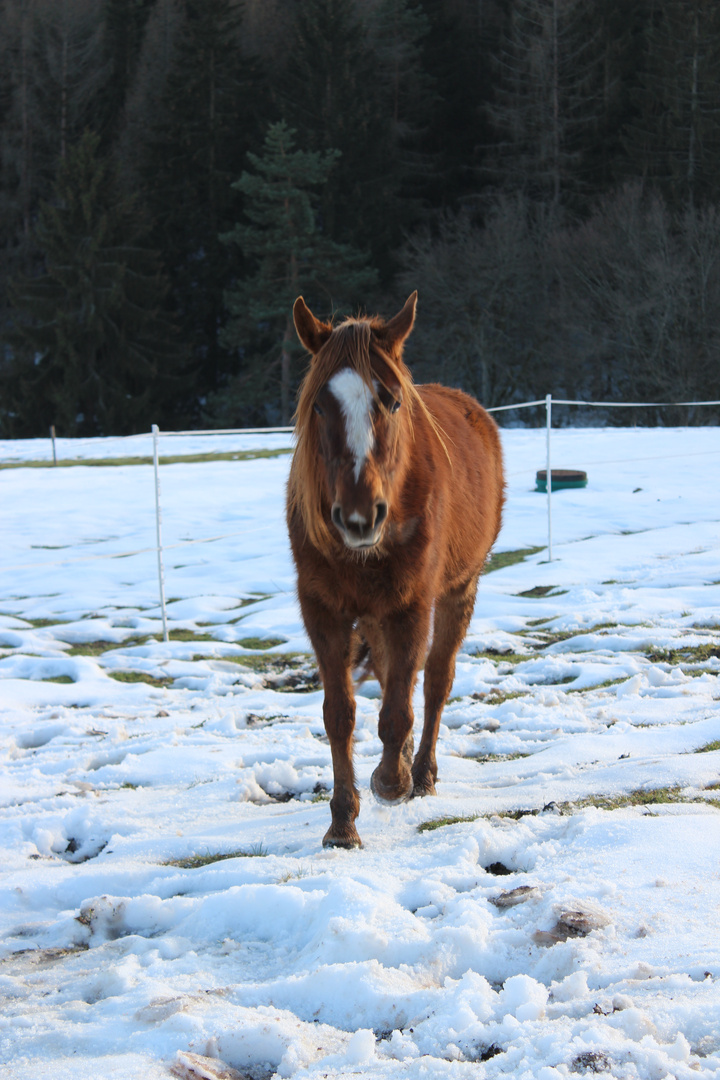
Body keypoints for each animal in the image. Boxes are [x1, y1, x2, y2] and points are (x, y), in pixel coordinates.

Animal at [284, 291, 505, 846]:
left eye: (392, 401)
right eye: (319, 404)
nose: (360, 516)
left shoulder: (412, 605)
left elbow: (400, 708)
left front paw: (391, 781)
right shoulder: (324, 611)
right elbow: (340, 714)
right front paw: (342, 822)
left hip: (459, 591)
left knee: (435, 682)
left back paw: (419, 773)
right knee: (390, 679)